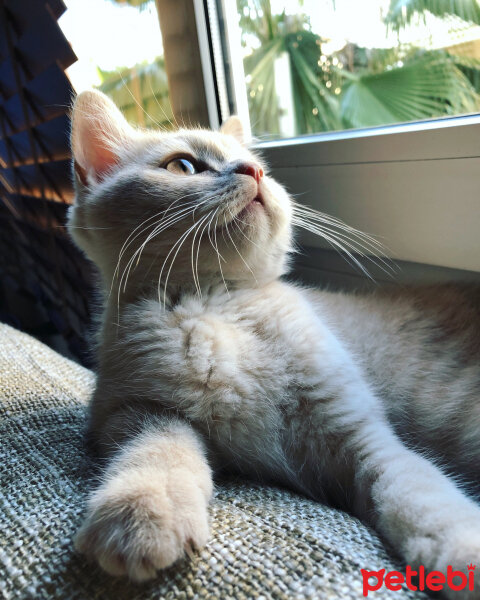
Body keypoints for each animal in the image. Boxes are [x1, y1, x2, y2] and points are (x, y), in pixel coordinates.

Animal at [68, 90, 480, 600]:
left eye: (256, 163)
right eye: (183, 165)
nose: (253, 171)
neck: (216, 304)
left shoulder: (362, 435)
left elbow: (420, 493)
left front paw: (464, 552)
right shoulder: (130, 409)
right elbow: (158, 447)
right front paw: (143, 510)